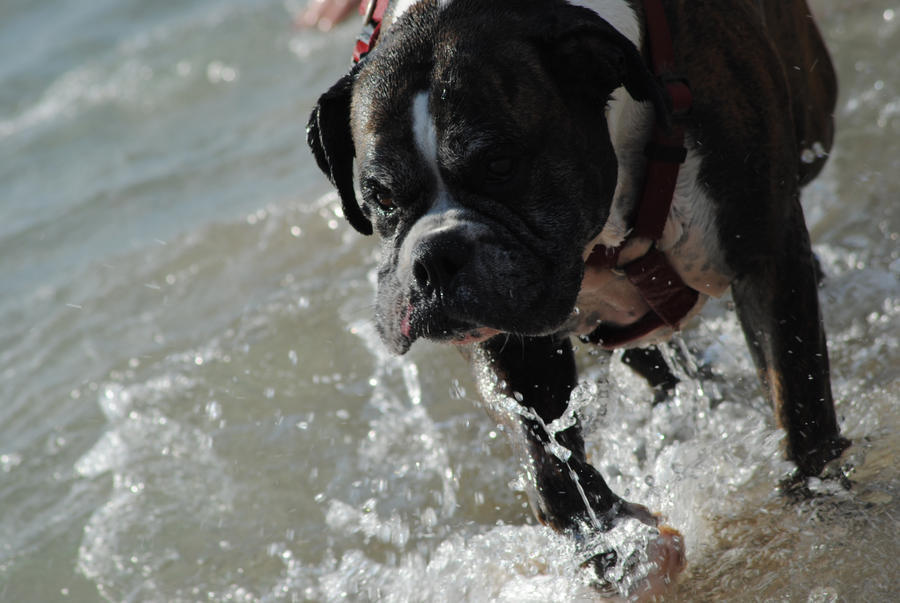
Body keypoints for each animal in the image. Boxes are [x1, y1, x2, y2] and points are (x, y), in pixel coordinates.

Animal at [306, 0, 848, 596]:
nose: (434, 257)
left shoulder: (766, 260)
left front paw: (816, 501)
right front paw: (615, 549)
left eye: (500, 166)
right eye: (379, 196)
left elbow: (798, 401)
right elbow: (550, 462)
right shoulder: (509, 338)